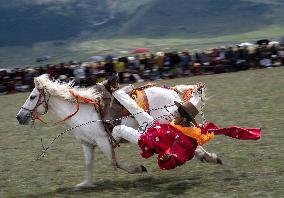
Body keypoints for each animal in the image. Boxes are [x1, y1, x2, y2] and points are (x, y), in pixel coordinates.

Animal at [16, 74, 222, 189]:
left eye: (32, 96)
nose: (19, 117)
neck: (82, 113)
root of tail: (171, 90)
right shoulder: (87, 144)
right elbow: (89, 164)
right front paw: (85, 185)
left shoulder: (103, 141)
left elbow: (115, 162)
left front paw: (138, 168)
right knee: (188, 139)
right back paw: (208, 156)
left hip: (165, 120)